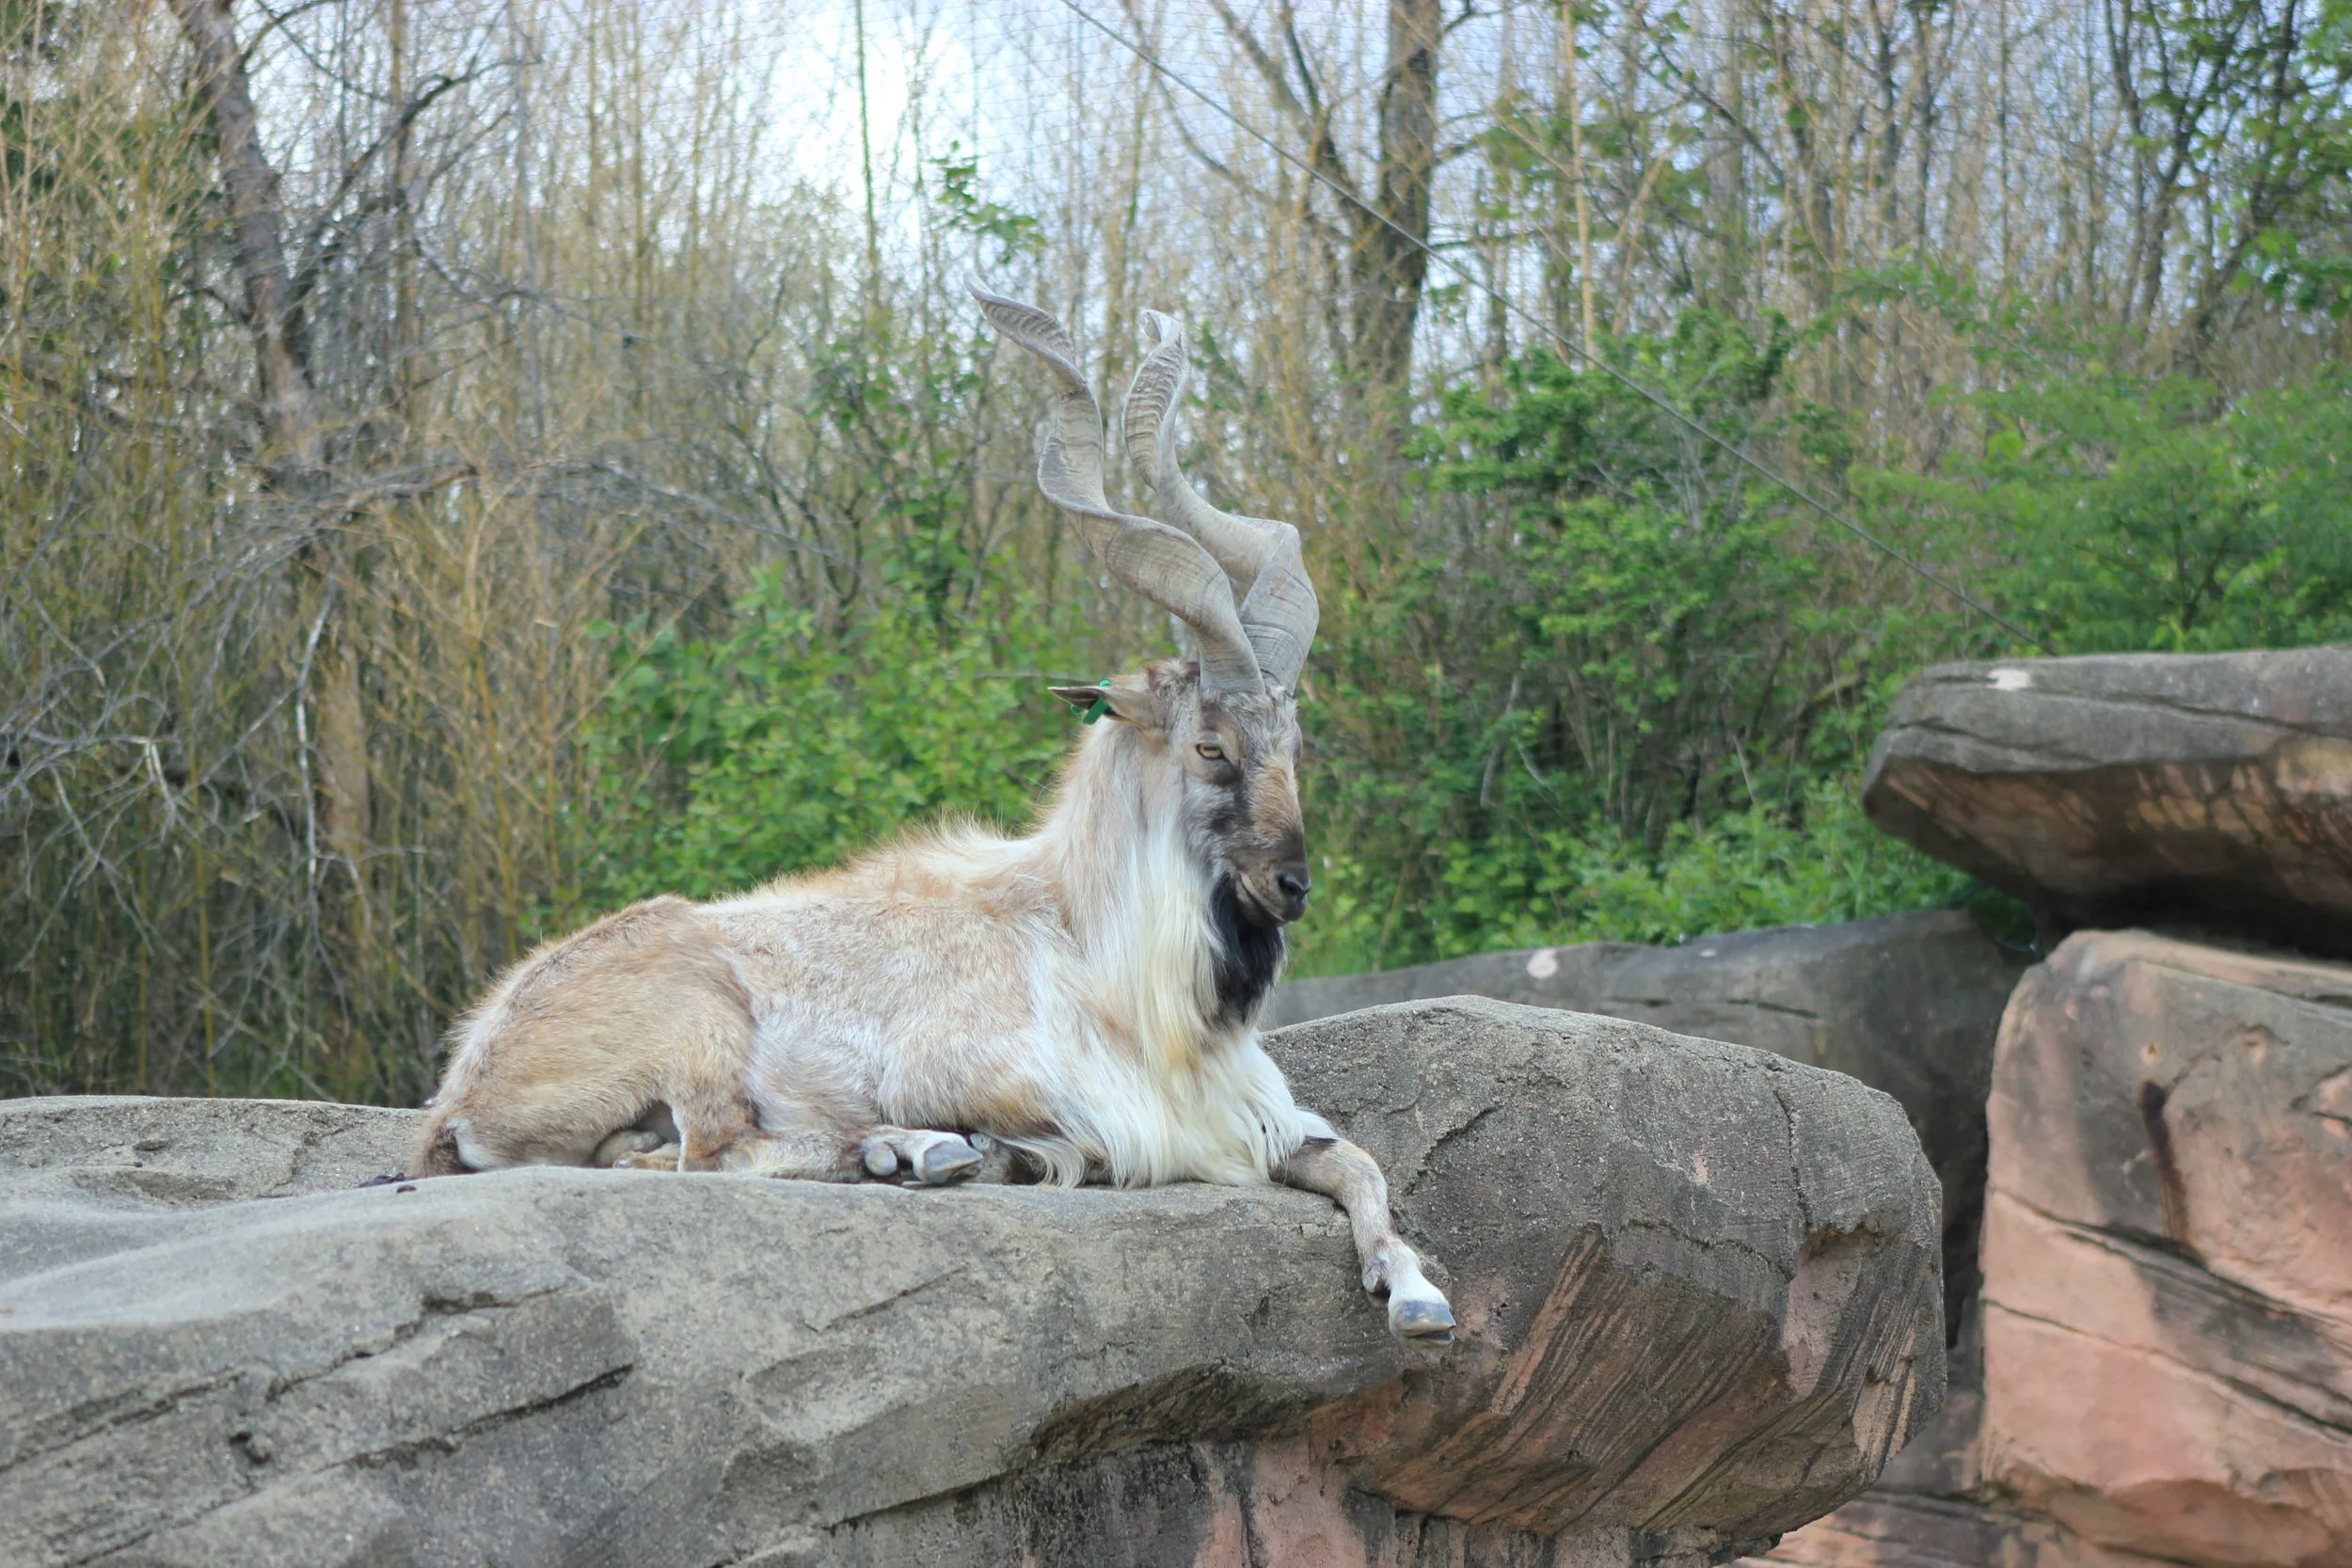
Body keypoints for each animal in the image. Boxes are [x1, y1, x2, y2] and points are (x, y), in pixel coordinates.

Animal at [409, 290, 1456, 1341]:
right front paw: (974, 1152)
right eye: (1210, 746)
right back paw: (915, 1151)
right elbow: (1067, 1148)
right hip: (697, 1023)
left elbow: (1357, 1160)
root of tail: (466, 1083)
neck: (1092, 952)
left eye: (1293, 744)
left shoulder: (1253, 1118)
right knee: (711, 1151)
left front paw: (1416, 1292)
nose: (1291, 884)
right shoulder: (1015, 1091)